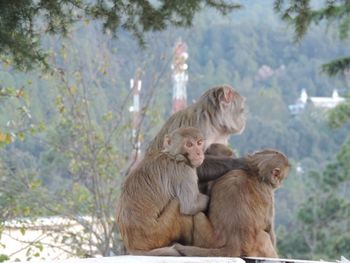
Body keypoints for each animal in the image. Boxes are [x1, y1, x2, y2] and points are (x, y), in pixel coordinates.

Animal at [117, 127, 216, 256]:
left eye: (199, 143)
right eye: (189, 145)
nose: (199, 153)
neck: (172, 154)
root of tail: (132, 246)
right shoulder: (183, 170)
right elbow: (190, 206)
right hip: (159, 233)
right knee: (178, 205)